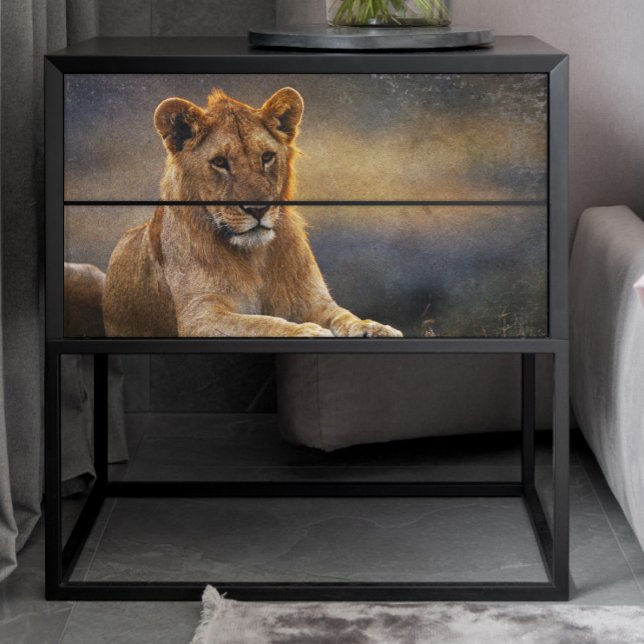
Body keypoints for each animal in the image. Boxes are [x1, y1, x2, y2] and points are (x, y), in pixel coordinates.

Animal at [103, 87, 403, 339]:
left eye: (267, 157)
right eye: (220, 162)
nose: (258, 208)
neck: (255, 257)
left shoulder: (314, 301)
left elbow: (345, 316)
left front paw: (373, 327)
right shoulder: (199, 317)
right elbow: (257, 323)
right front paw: (303, 331)